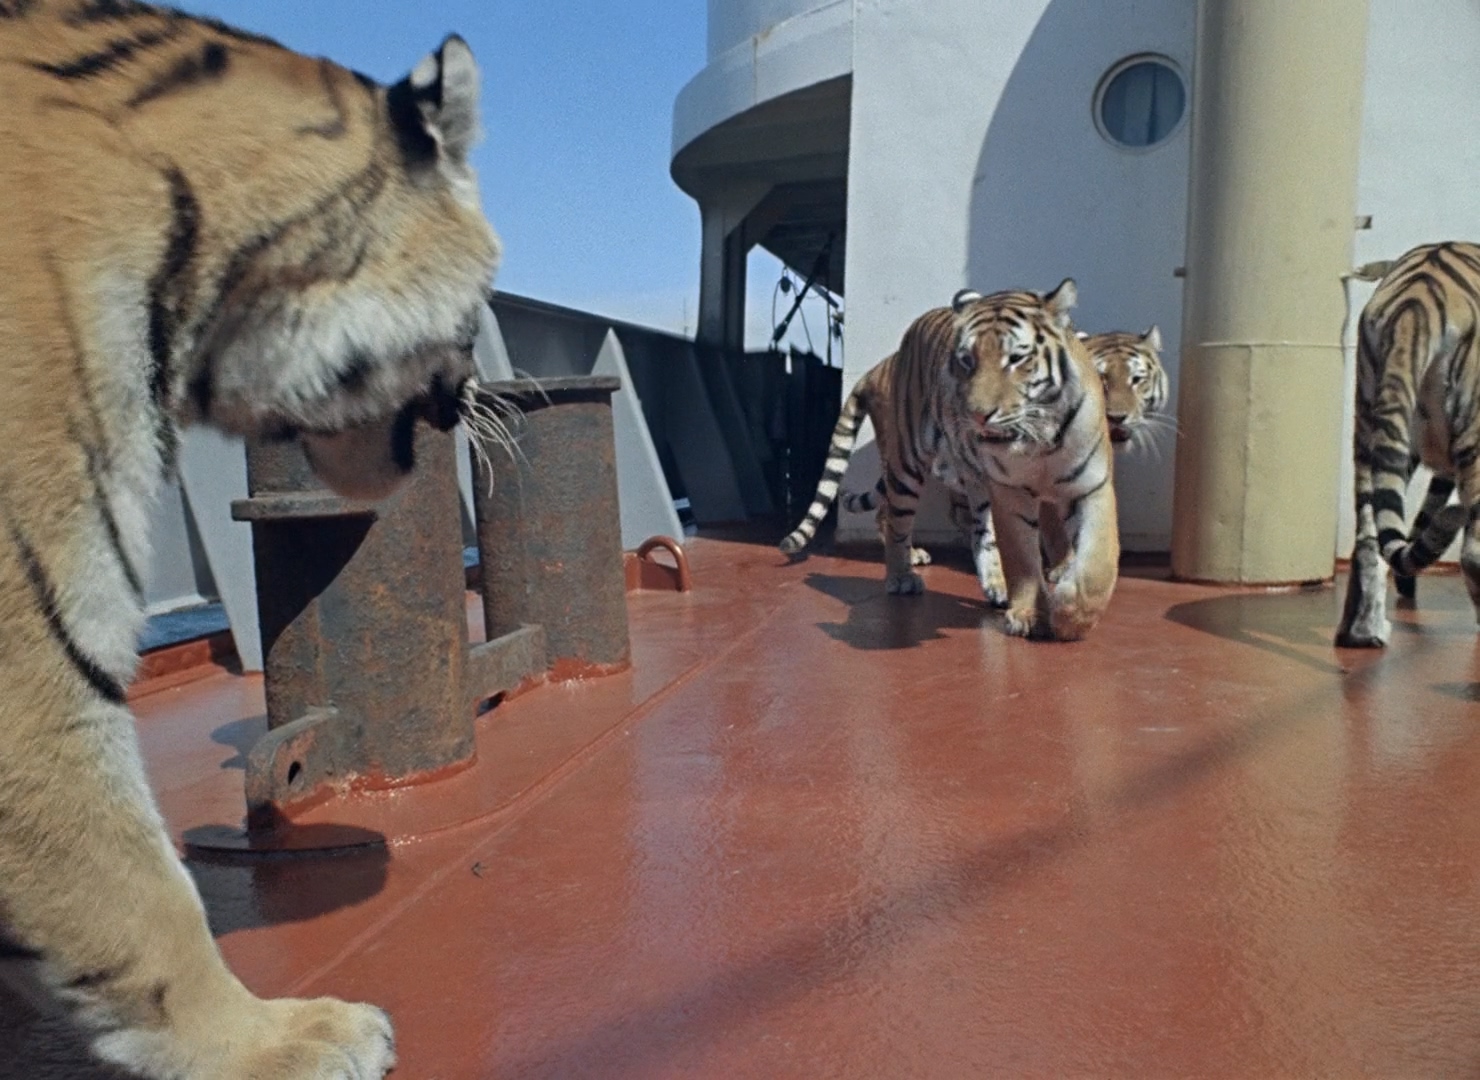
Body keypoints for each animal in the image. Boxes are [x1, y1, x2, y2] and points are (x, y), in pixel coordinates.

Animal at [779, 281, 1121, 640]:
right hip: (906, 464)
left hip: (971, 481)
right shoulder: (1010, 491)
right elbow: (1022, 558)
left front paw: (1072, 614)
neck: (1040, 435)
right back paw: (903, 574)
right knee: (895, 519)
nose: (977, 415)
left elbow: (1098, 563)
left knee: (978, 533)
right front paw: (1031, 613)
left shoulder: (1091, 487)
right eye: (966, 361)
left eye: (1016, 358)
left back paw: (995, 586)